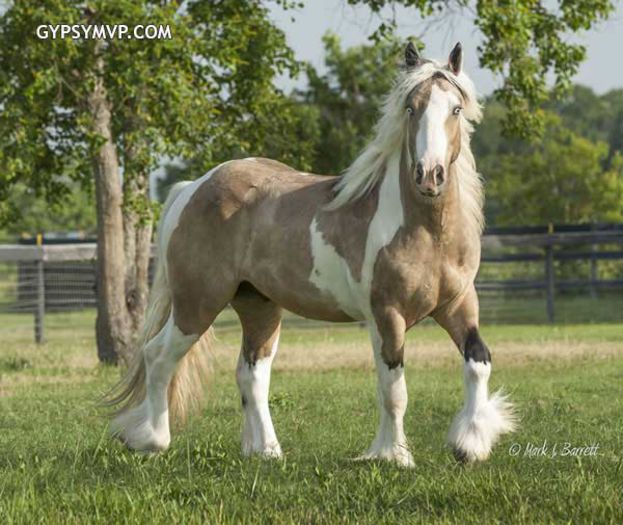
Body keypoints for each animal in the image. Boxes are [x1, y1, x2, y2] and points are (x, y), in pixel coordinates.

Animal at [106, 42, 516, 466]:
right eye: (410, 108)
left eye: (455, 109)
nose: (429, 175)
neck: (427, 233)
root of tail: (193, 187)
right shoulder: (387, 315)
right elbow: (394, 389)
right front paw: (395, 456)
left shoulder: (458, 304)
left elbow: (478, 362)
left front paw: (471, 443)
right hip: (197, 303)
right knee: (158, 356)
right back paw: (152, 440)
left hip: (259, 305)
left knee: (251, 373)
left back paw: (267, 452)